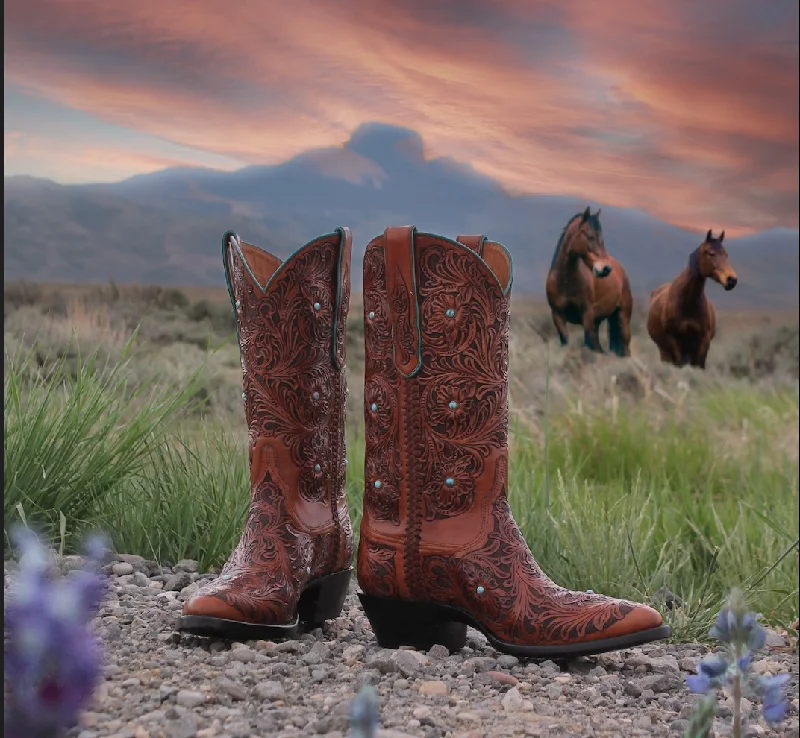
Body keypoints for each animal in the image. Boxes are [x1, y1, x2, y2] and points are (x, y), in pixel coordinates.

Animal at [548, 206, 636, 356]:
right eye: (588, 235)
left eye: (601, 237)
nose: (606, 268)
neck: (565, 282)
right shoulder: (557, 315)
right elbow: (566, 341)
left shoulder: (587, 315)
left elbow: (589, 343)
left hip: (622, 319)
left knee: (624, 349)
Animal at [644, 227, 736, 368]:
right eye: (710, 253)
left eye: (726, 254)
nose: (732, 280)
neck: (686, 303)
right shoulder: (673, 340)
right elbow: (679, 363)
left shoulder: (703, 342)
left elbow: (698, 365)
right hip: (664, 352)